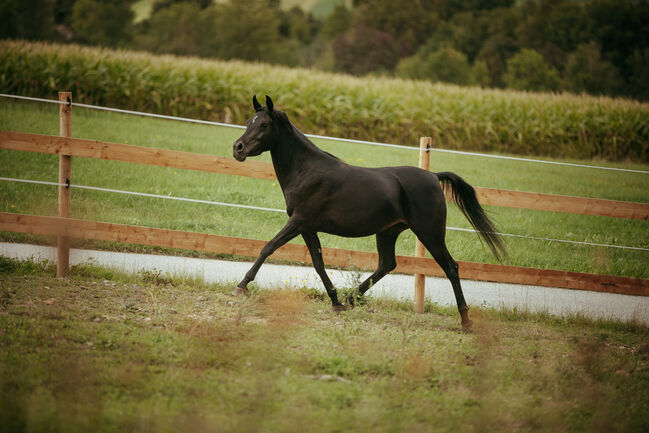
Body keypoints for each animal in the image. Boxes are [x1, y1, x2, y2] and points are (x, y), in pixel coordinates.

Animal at [230, 95, 504, 330]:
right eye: (249, 122)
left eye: (264, 124)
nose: (238, 148)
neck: (307, 170)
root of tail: (434, 177)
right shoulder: (307, 227)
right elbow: (318, 263)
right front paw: (335, 301)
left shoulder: (298, 221)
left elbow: (268, 247)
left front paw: (241, 286)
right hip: (388, 232)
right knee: (387, 264)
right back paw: (351, 299)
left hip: (430, 233)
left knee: (451, 267)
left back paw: (465, 321)